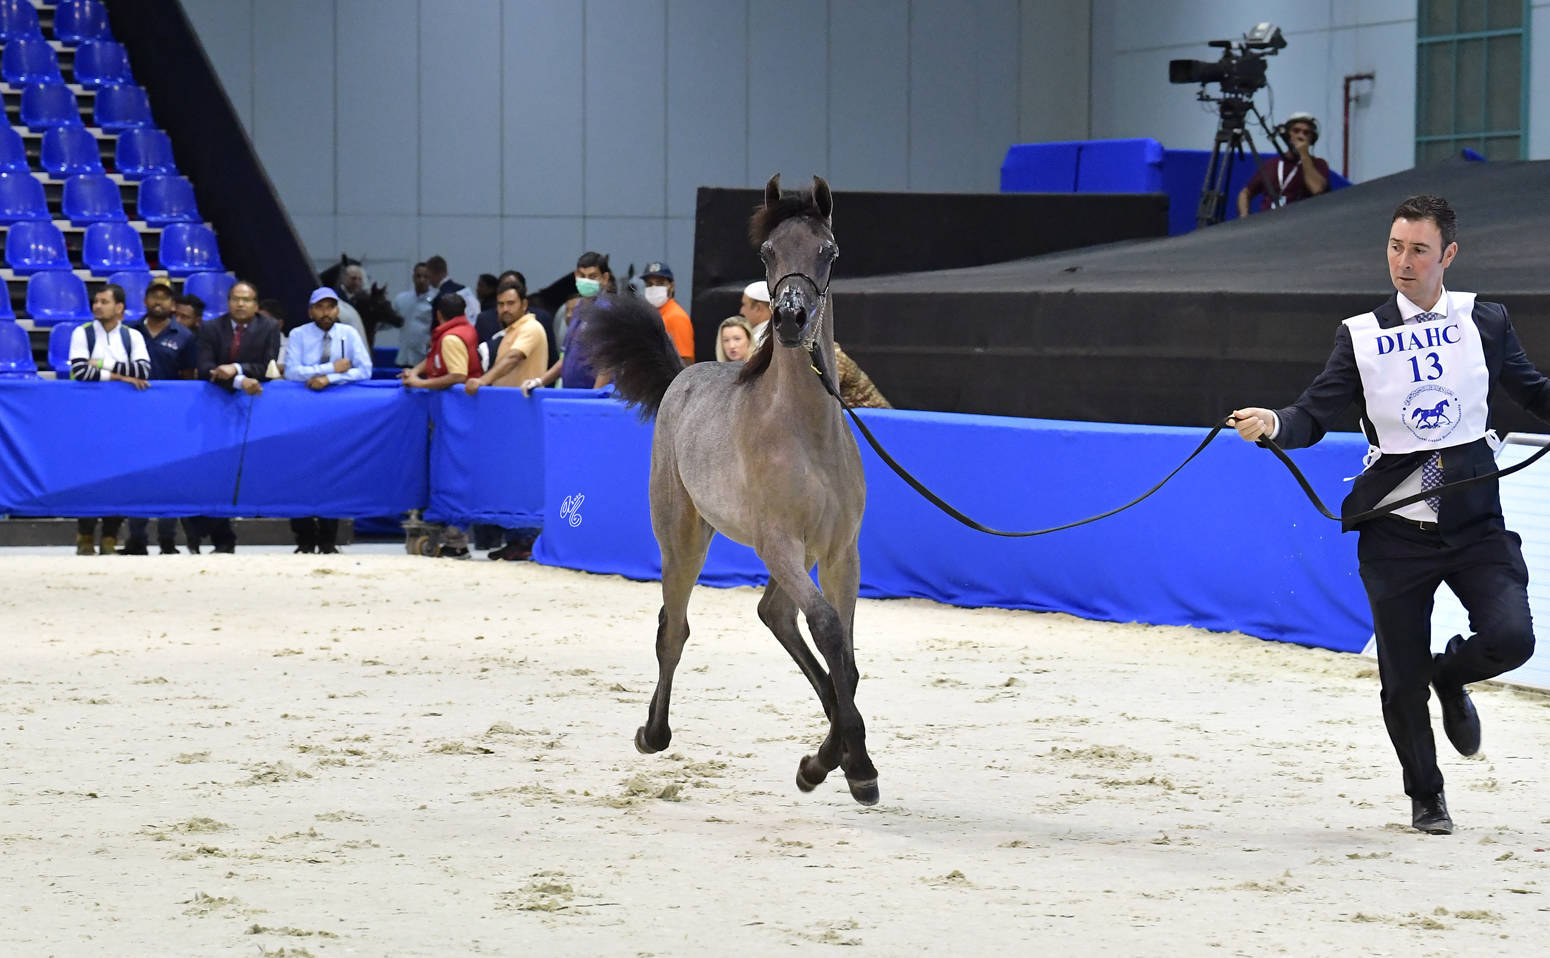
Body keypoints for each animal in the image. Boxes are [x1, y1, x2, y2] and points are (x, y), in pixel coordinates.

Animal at [578, 174, 878, 805]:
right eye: (766, 253)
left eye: (829, 250)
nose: (790, 319)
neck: (807, 434)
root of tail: (682, 375)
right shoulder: (778, 543)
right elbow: (828, 630)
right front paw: (856, 764)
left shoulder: (841, 551)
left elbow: (845, 654)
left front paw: (832, 761)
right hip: (685, 537)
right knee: (675, 627)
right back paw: (653, 733)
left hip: (795, 555)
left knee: (775, 614)